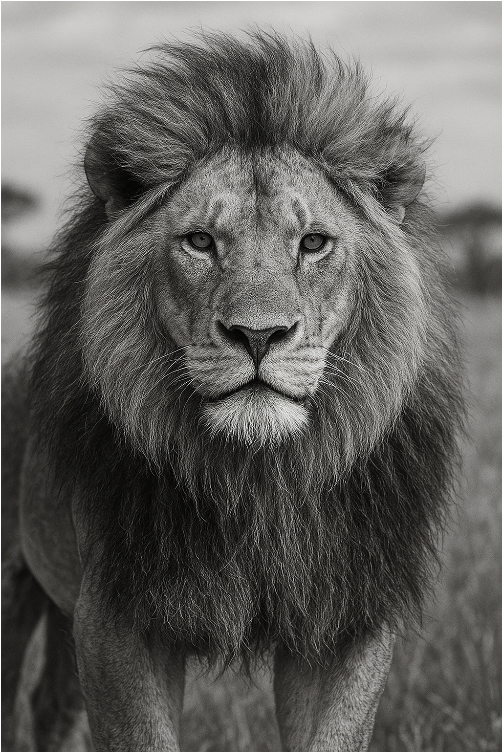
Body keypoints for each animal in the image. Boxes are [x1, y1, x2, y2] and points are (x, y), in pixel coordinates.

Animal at [1, 32, 463, 752]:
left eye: (313, 243)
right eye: (199, 242)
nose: (258, 334)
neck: (261, 479)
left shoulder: (347, 613)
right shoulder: (115, 614)